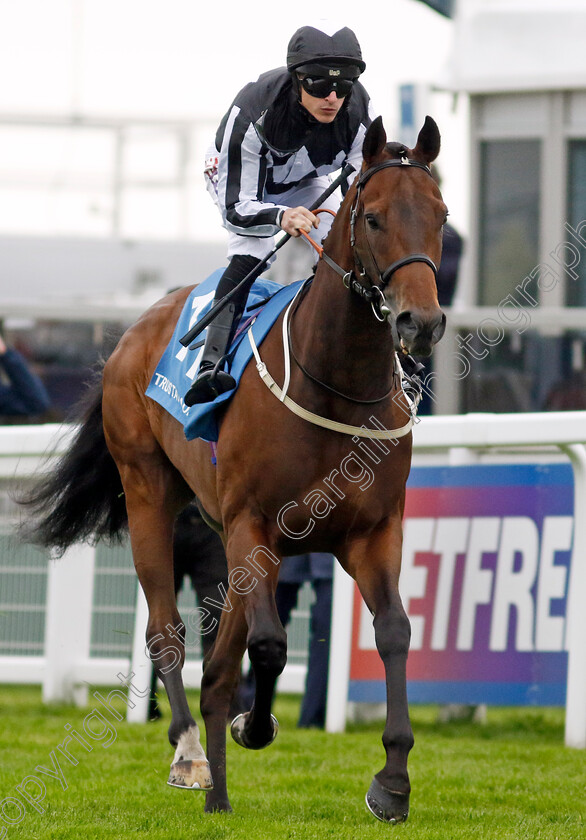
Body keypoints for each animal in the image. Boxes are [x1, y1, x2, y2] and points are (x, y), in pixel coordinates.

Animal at [21, 115, 442, 824]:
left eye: (441, 215)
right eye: (375, 217)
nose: (422, 322)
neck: (335, 383)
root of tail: (135, 327)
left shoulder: (374, 531)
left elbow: (393, 631)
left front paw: (393, 780)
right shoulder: (256, 524)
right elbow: (269, 645)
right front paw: (256, 726)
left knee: (220, 657)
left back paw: (216, 760)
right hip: (150, 492)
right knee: (168, 632)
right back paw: (192, 754)